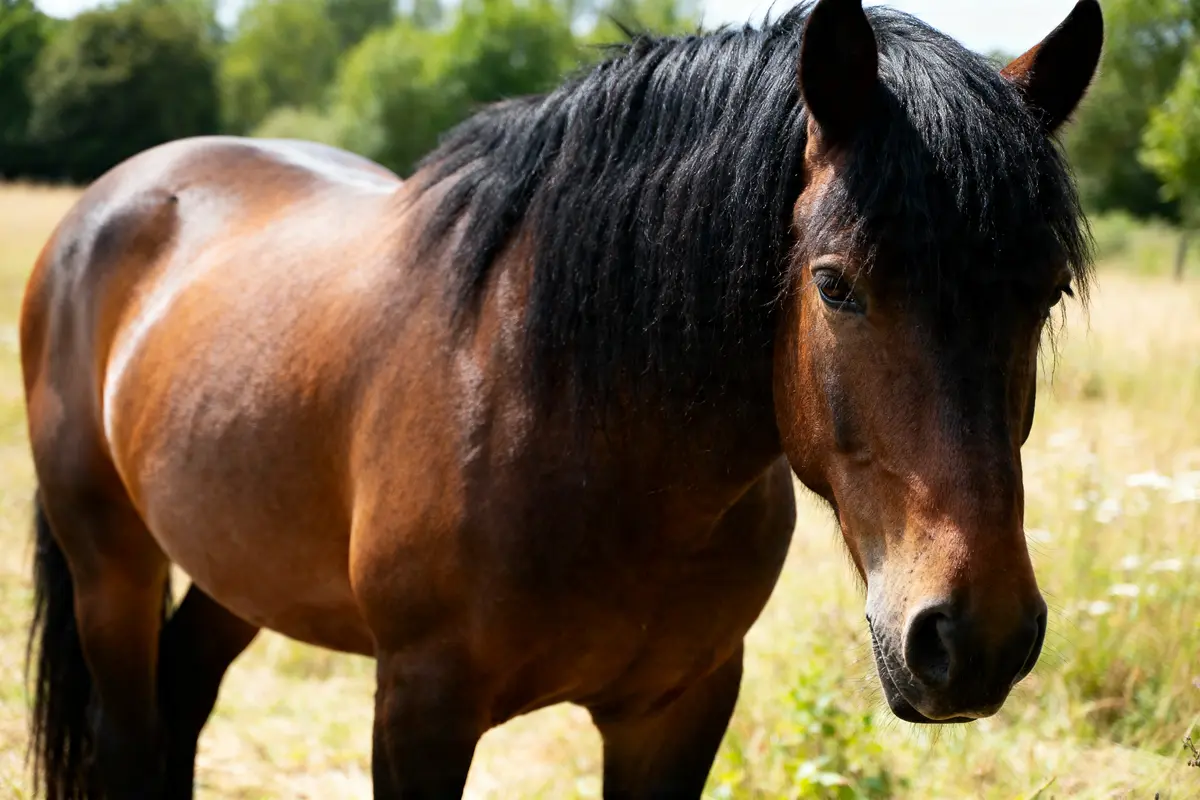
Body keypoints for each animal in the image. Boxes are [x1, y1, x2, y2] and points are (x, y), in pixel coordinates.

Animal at [19, 0, 1103, 796]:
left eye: (1045, 291)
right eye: (836, 284)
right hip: (110, 564)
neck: (579, 430)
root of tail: (114, 198)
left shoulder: (679, 710)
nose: (975, 639)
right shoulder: (419, 709)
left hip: (239, 565)